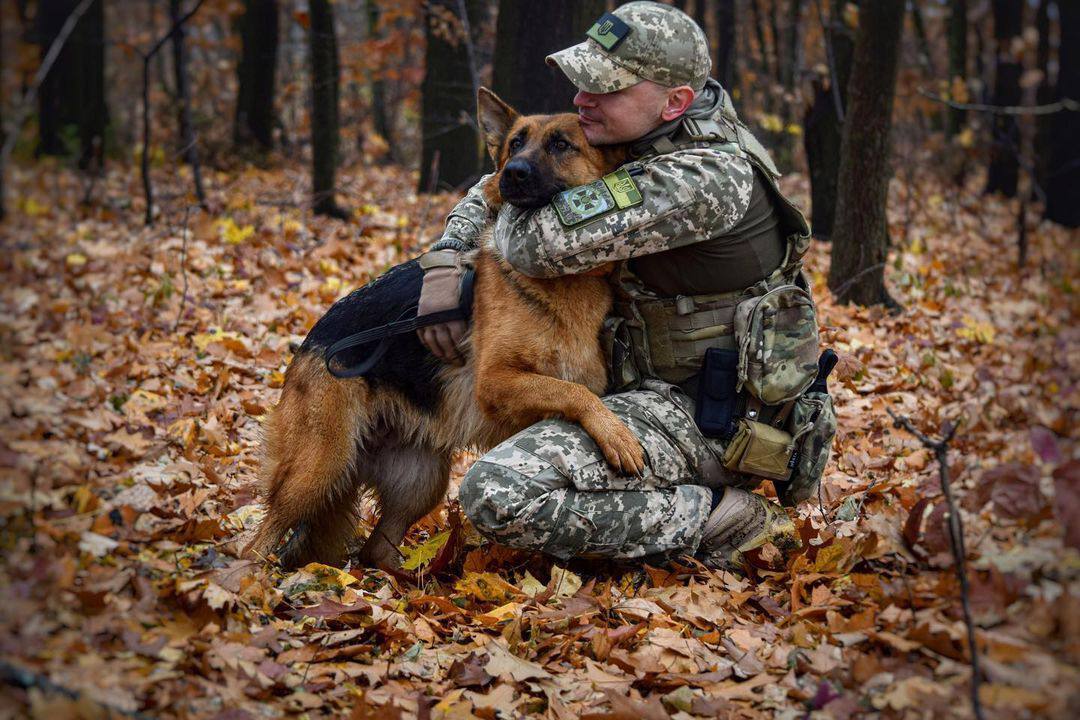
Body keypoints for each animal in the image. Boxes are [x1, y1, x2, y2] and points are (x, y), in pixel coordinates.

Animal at [247, 90, 639, 569]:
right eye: (515, 143)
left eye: (561, 145)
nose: (511, 173)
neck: (559, 284)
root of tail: (311, 342)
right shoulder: (497, 381)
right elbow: (574, 392)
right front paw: (618, 435)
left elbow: (576, 391)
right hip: (318, 468)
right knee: (259, 538)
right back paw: (247, 578)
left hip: (421, 481)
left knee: (376, 548)